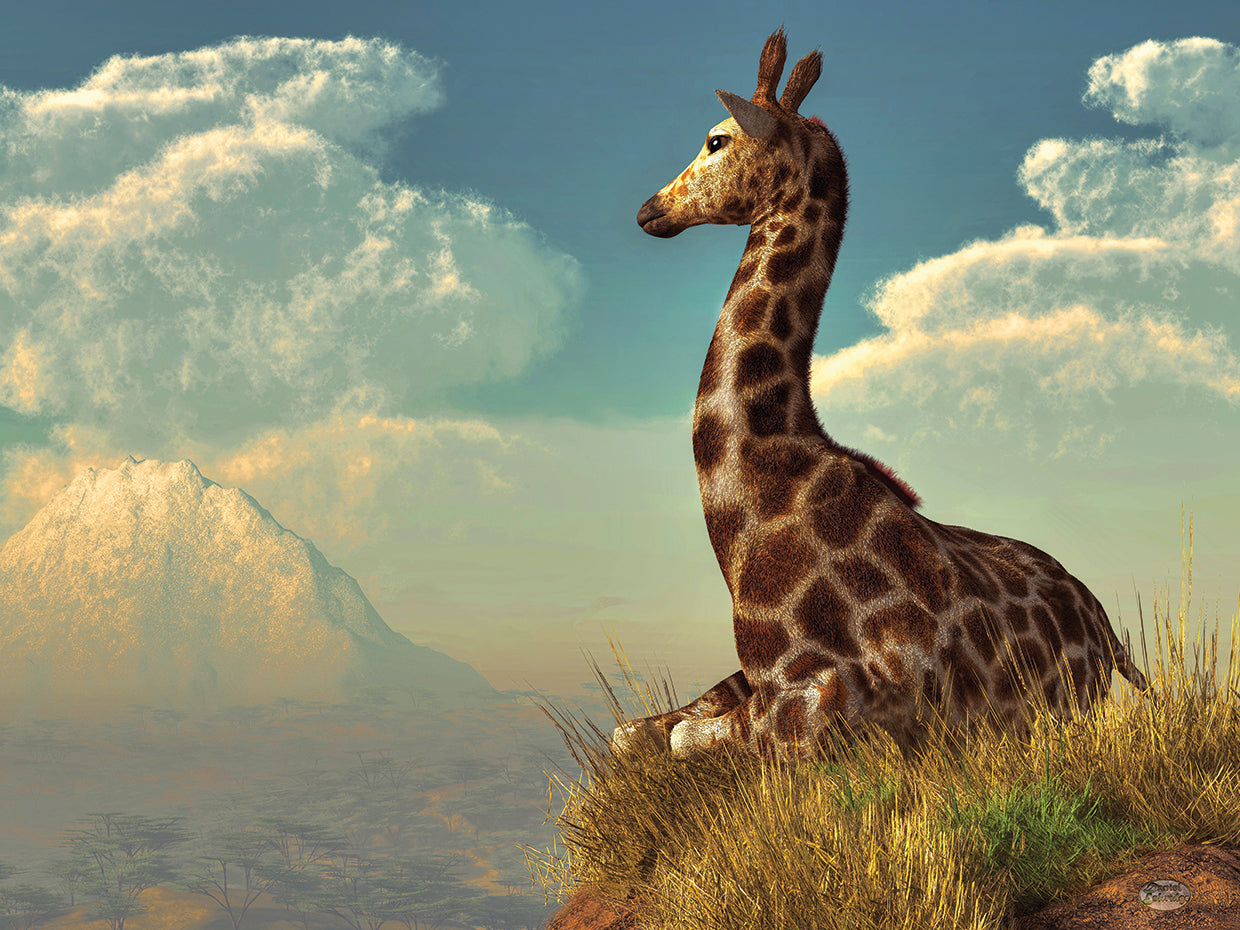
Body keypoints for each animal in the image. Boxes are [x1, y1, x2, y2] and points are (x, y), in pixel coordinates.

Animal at [614, 28, 1149, 762]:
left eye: (716, 139)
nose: (649, 211)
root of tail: (1104, 626)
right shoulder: (753, 678)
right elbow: (635, 734)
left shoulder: (851, 700)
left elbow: (684, 737)